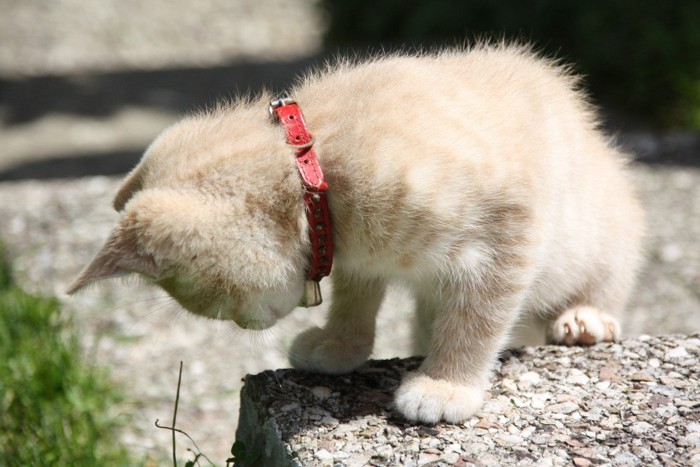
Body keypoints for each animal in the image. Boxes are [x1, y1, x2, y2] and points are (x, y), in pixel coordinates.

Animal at [68, 44, 644, 428]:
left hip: (603, 223)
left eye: (211, 304)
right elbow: (355, 295)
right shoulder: (353, 251)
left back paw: (587, 318)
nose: (248, 325)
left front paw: (447, 385)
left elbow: (478, 317)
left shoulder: (510, 225)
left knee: (615, 265)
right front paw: (340, 344)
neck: (313, 163)